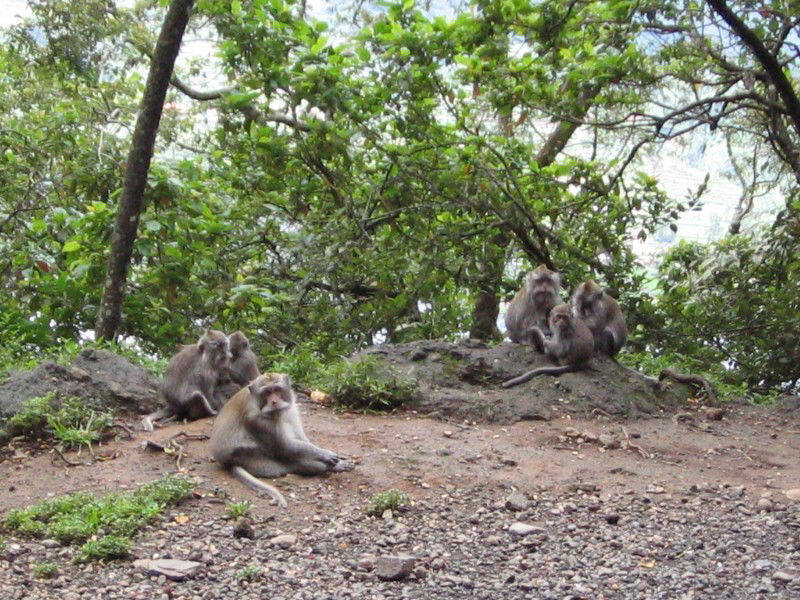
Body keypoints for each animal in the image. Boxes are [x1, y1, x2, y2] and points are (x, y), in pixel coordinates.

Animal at [209, 370, 354, 506]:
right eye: (267, 392)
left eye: (277, 390)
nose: (274, 402)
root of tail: (227, 462)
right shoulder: (258, 421)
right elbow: (285, 446)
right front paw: (325, 455)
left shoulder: (292, 408)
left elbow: (299, 436)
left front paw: (335, 460)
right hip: (251, 459)